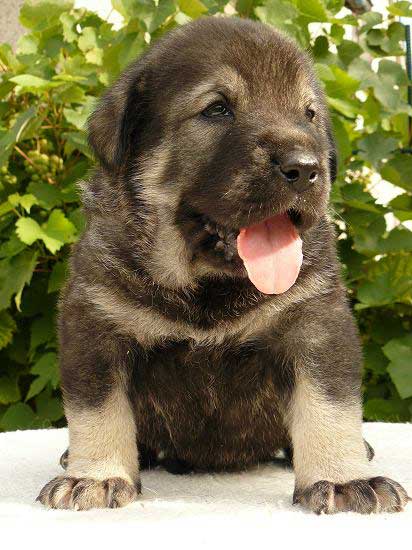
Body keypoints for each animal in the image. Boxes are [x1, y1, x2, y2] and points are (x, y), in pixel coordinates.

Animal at [36, 18, 408, 516]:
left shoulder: (316, 326)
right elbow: (98, 410)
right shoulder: (95, 328)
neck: (206, 287)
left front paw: (343, 477)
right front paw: (94, 474)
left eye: (309, 115)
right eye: (217, 110)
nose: (306, 167)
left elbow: (329, 405)